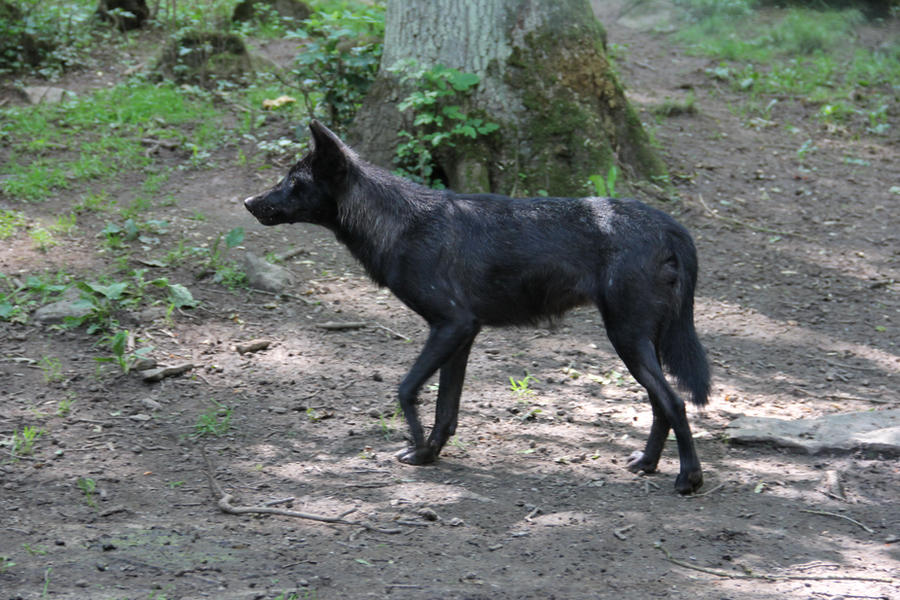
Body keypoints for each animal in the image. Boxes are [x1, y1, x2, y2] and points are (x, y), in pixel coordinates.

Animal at [245, 120, 710, 494]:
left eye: (292, 182)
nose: (249, 202)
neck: (400, 225)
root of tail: (670, 225)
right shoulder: (463, 334)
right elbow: (446, 409)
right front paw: (429, 453)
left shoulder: (451, 325)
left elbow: (406, 389)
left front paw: (416, 445)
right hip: (637, 342)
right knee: (660, 403)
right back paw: (646, 463)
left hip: (625, 339)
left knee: (675, 403)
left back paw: (688, 479)